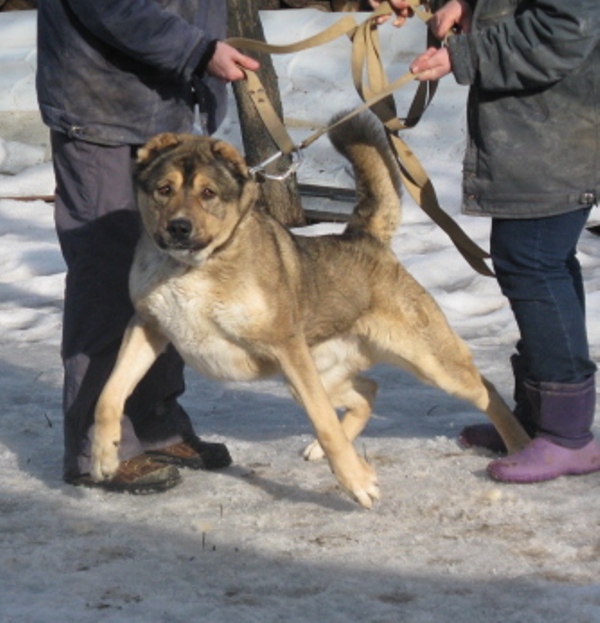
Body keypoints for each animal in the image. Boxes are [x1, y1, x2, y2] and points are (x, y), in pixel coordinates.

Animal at [90, 113, 528, 508]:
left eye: (209, 193)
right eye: (163, 189)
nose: (179, 228)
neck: (193, 268)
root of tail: (365, 238)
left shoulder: (285, 346)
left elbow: (325, 422)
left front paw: (356, 482)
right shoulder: (148, 327)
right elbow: (108, 395)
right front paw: (105, 455)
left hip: (424, 363)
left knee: (485, 389)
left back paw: (521, 446)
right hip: (315, 373)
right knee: (368, 390)